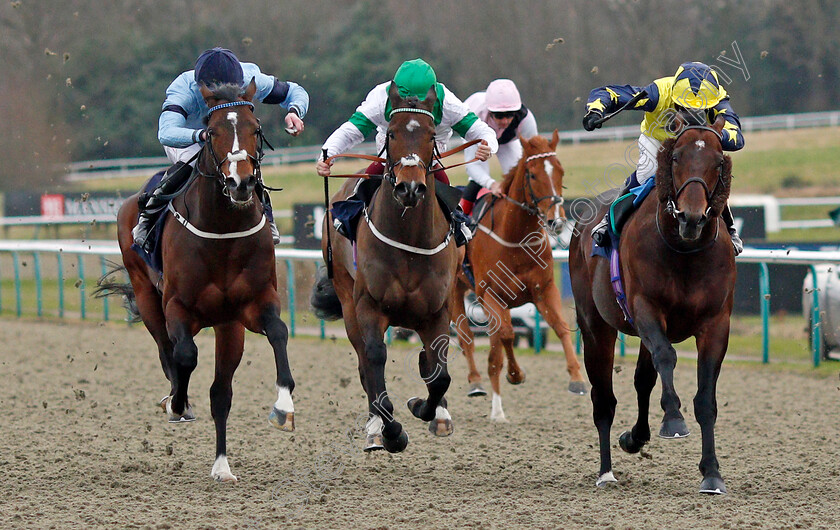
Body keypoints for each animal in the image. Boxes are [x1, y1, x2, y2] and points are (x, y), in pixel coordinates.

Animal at [101, 80, 296, 480]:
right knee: (167, 350)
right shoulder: (178, 306)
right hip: (147, 296)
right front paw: (177, 404)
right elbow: (185, 355)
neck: (222, 228)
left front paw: (284, 405)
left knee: (220, 393)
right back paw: (177, 401)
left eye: (255, 129)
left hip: (227, 326)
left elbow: (278, 332)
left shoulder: (251, 306)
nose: (241, 182)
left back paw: (222, 465)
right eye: (213, 131)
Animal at [312, 82, 460, 450]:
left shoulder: (438, 310)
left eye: (431, 134)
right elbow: (374, 359)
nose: (410, 187)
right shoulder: (369, 305)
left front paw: (425, 407)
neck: (409, 241)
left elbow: (439, 375)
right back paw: (375, 428)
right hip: (346, 298)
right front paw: (392, 431)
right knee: (365, 363)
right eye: (391, 133)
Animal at [450, 132, 588, 420]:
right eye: (532, 174)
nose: (557, 221)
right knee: (466, 336)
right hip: (455, 290)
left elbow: (560, 327)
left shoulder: (544, 289)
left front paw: (577, 379)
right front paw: (516, 374)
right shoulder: (490, 295)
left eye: (560, 170)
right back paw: (476, 383)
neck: (516, 238)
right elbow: (507, 334)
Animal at [572, 114, 736, 490]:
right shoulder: (645, 307)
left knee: (642, 379)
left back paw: (635, 437)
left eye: (718, 163)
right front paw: (673, 419)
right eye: (675, 158)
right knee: (603, 399)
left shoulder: (716, 323)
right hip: (595, 327)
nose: (692, 218)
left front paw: (712, 473)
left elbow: (705, 399)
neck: (685, 251)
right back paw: (606, 472)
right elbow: (667, 356)